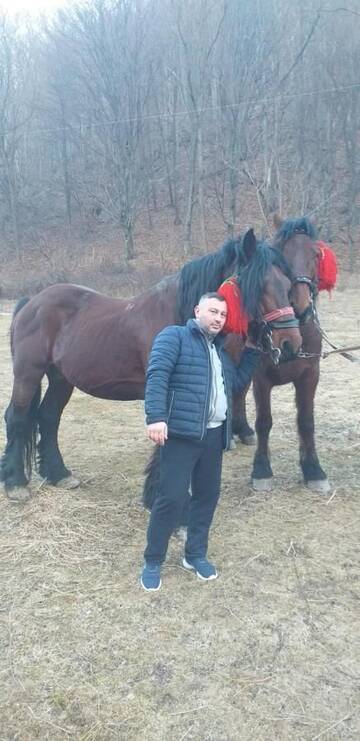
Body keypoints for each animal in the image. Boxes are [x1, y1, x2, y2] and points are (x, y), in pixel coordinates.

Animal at [1, 227, 302, 502]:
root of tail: (32, 302)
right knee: (18, 416)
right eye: (259, 285)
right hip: (28, 373)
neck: (182, 318)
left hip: (61, 378)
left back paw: (59, 474)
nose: (291, 344)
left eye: (287, 285)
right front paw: (159, 496)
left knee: (48, 417)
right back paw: (16, 482)